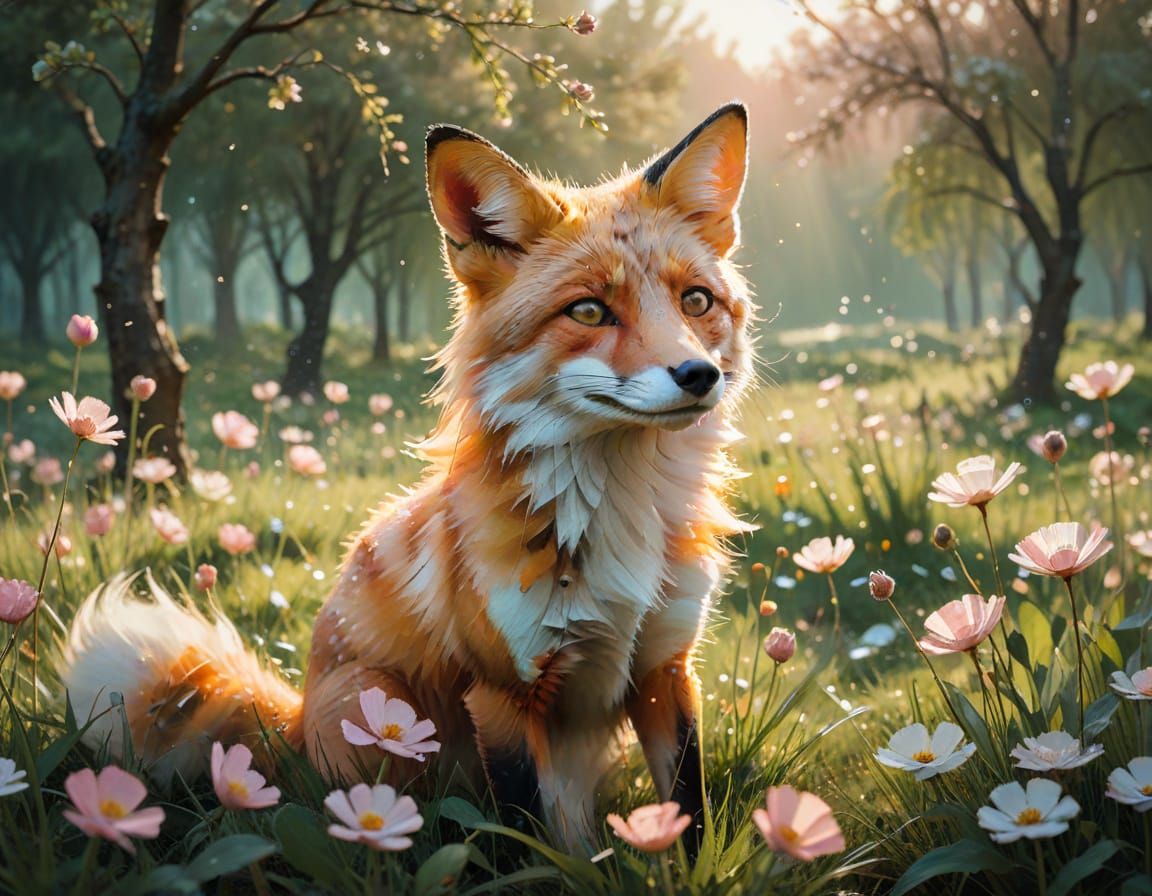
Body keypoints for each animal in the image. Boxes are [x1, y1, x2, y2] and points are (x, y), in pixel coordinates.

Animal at [63, 102, 755, 853]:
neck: (622, 513)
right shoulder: (500, 691)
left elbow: (690, 811)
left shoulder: (666, 667)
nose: (699, 376)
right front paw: (548, 863)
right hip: (384, 718)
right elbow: (526, 835)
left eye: (695, 302)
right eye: (590, 311)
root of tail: (295, 721)